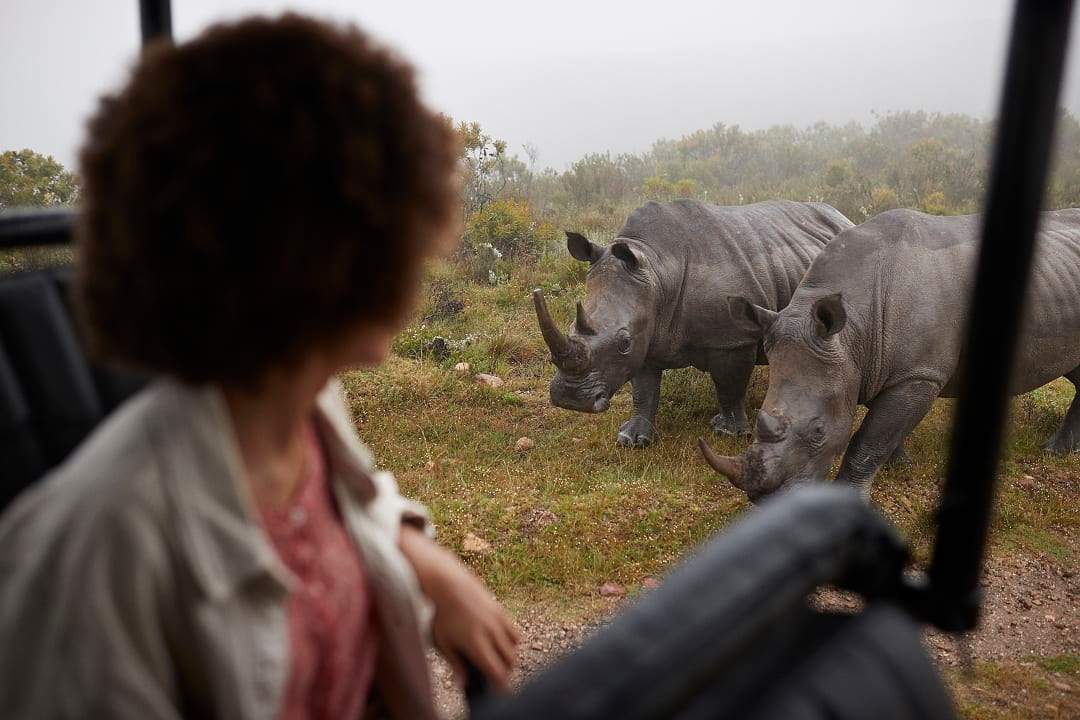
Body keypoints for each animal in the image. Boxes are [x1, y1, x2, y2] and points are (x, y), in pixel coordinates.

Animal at [532, 199, 852, 447]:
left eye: (623, 342)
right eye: (571, 328)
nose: (571, 400)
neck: (657, 268)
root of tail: (842, 216)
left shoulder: (732, 337)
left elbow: (729, 385)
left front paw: (728, 433)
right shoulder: (647, 333)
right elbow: (644, 390)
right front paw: (632, 439)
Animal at [700, 208, 1080, 501]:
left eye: (818, 432)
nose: (762, 499)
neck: (855, 328)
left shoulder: (919, 374)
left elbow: (868, 442)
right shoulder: (873, 362)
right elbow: (884, 430)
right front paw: (900, 463)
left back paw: (1054, 451)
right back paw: (1062, 450)